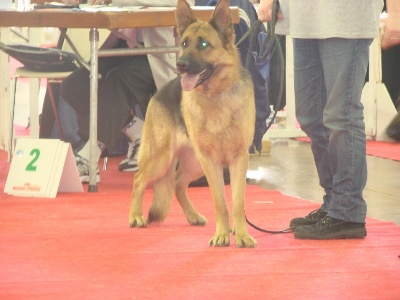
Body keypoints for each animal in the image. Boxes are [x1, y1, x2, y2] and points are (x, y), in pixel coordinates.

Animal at [128, 0, 256, 248]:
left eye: (204, 44)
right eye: (184, 43)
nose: (181, 65)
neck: (216, 95)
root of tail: (160, 91)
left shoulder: (238, 158)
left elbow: (237, 203)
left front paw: (241, 234)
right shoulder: (211, 161)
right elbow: (220, 203)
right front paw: (222, 234)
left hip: (194, 163)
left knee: (178, 184)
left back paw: (193, 215)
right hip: (164, 157)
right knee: (139, 179)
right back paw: (135, 216)